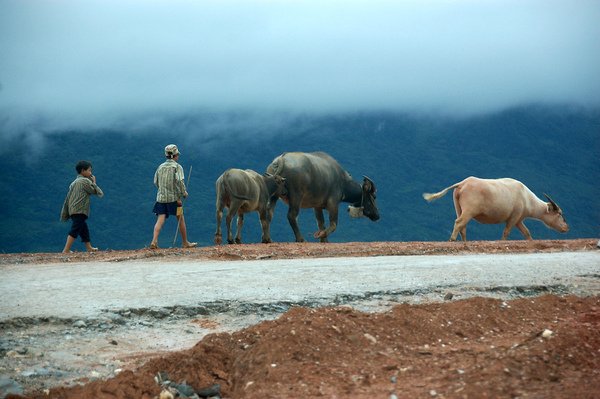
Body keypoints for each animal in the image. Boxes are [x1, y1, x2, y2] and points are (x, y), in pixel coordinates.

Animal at [422, 177, 568, 241]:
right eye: (560, 214)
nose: (566, 228)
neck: (526, 197)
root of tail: (463, 183)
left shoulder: (518, 220)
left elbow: (527, 233)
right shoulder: (513, 218)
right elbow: (506, 232)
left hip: (459, 209)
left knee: (462, 226)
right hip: (469, 210)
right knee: (459, 223)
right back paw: (452, 240)